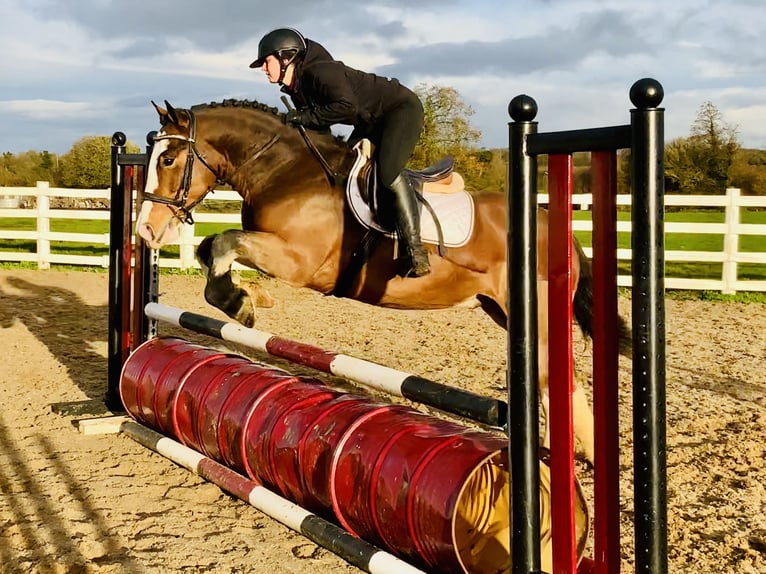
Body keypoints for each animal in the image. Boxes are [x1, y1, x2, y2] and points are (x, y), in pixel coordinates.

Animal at [135, 98, 631, 465]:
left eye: (169, 158)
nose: (145, 231)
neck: (285, 170)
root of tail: (554, 223)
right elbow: (210, 249)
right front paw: (248, 296)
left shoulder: (299, 260)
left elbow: (223, 244)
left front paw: (242, 302)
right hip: (503, 311)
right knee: (555, 381)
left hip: (534, 311)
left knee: (555, 378)